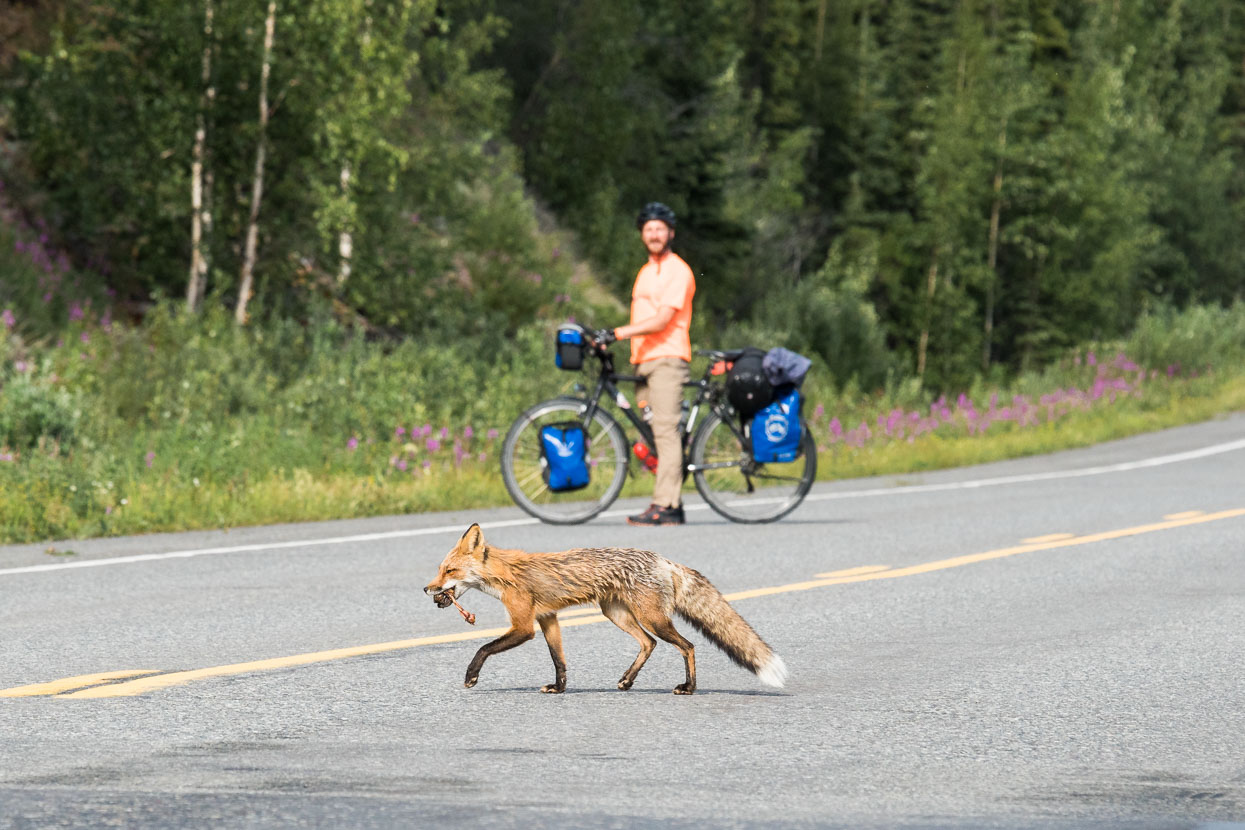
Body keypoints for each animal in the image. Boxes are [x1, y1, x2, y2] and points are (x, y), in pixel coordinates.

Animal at [423, 525, 781, 696]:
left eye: (450, 571)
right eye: (439, 570)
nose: (427, 589)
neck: (506, 573)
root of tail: (664, 559)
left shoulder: (525, 625)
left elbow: (484, 648)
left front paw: (471, 676)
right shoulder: (548, 618)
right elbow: (559, 661)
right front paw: (559, 689)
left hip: (653, 618)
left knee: (688, 646)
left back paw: (688, 688)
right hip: (617, 614)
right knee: (648, 643)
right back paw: (627, 681)